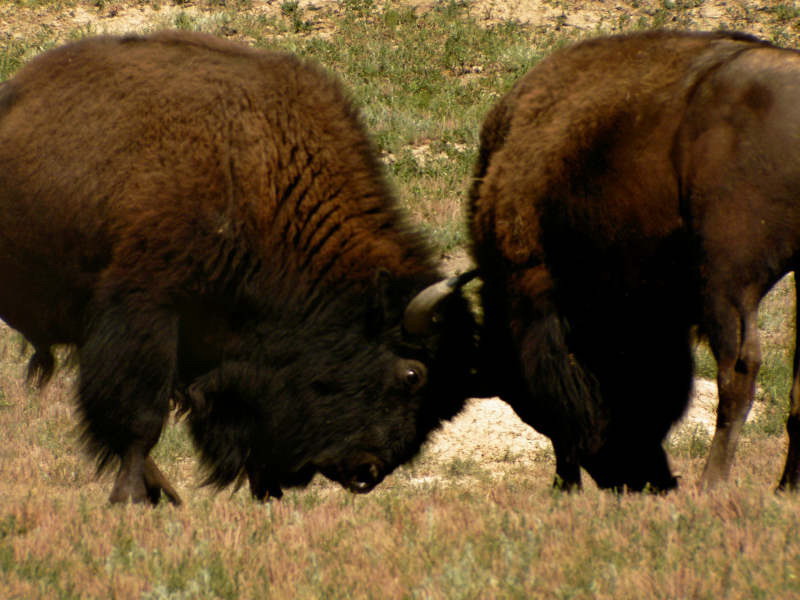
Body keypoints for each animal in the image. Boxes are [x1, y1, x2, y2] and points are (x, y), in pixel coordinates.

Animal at [470, 30, 800, 491]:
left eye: (523, 393)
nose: (639, 480)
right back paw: (785, 487)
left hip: (728, 279)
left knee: (738, 373)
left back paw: (711, 484)